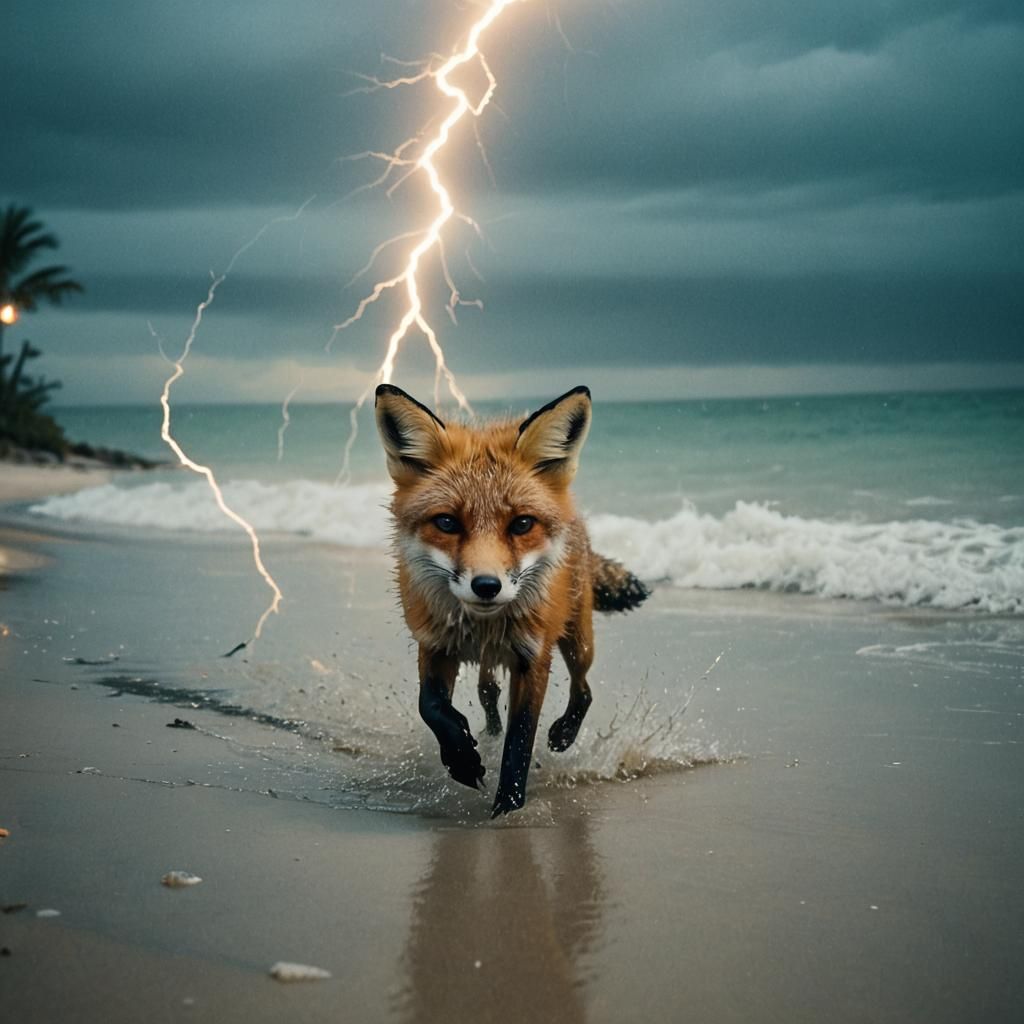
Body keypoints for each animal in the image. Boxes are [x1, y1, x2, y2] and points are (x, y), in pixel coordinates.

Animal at [374, 383, 649, 816]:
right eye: (447, 522)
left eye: (521, 524)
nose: (487, 586)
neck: (484, 627)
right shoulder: (434, 644)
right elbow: (430, 706)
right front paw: (462, 759)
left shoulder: (532, 657)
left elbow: (520, 740)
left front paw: (509, 804)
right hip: (491, 662)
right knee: (488, 691)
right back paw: (488, 729)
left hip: (577, 640)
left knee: (584, 690)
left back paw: (564, 733)